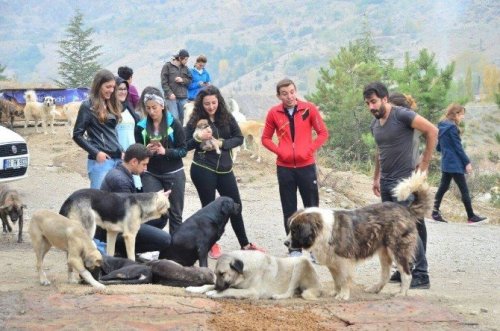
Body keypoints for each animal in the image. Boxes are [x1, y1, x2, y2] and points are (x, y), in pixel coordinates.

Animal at [187, 252, 320, 300]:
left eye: (222, 274)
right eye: (216, 274)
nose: (217, 288)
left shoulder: (253, 292)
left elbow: (229, 290)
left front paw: (214, 293)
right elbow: (207, 285)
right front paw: (195, 288)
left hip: (300, 263)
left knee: (290, 292)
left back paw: (278, 296)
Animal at [288, 172, 432, 302]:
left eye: (295, 231)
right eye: (290, 230)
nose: (286, 243)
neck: (324, 230)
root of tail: (404, 209)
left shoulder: (345, 261)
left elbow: (344, 280)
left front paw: (343, 295)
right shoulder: (333, 262)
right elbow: (336, 279)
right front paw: (336, 292)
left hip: (397, 250)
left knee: (407, 274)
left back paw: (402, 293)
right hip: (384, 252)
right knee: (385, 275)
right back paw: (375, 288)